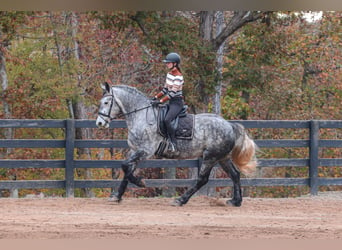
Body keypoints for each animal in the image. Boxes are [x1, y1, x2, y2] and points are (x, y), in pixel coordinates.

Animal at [96, 83, 256, 206]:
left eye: (106, 103)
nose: (99, 123)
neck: (141, 116)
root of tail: (229, 125)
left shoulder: (145, 151)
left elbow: (124, 166)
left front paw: (140, 183)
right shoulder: (134, 150)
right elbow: (126, 170)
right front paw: (117, 196)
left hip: (210, 157)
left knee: (202, 179)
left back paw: (180, 200)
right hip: (222, 157)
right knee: (235, 174)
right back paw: (235, 201)